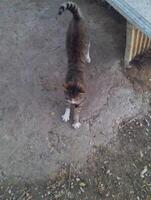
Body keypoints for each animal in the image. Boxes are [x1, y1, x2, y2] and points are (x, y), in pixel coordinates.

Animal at [57, 1, 91, 129]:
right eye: (69, 98)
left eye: (75, 98)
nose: (72, 102)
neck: (75, 80)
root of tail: (77, 18)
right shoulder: (65, 94)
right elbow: (66, 106)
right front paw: (66, 115)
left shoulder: (80, 101)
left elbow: (77, 111)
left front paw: (75, 121)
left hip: (87, 38)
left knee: (88, 46)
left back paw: (87, 57)